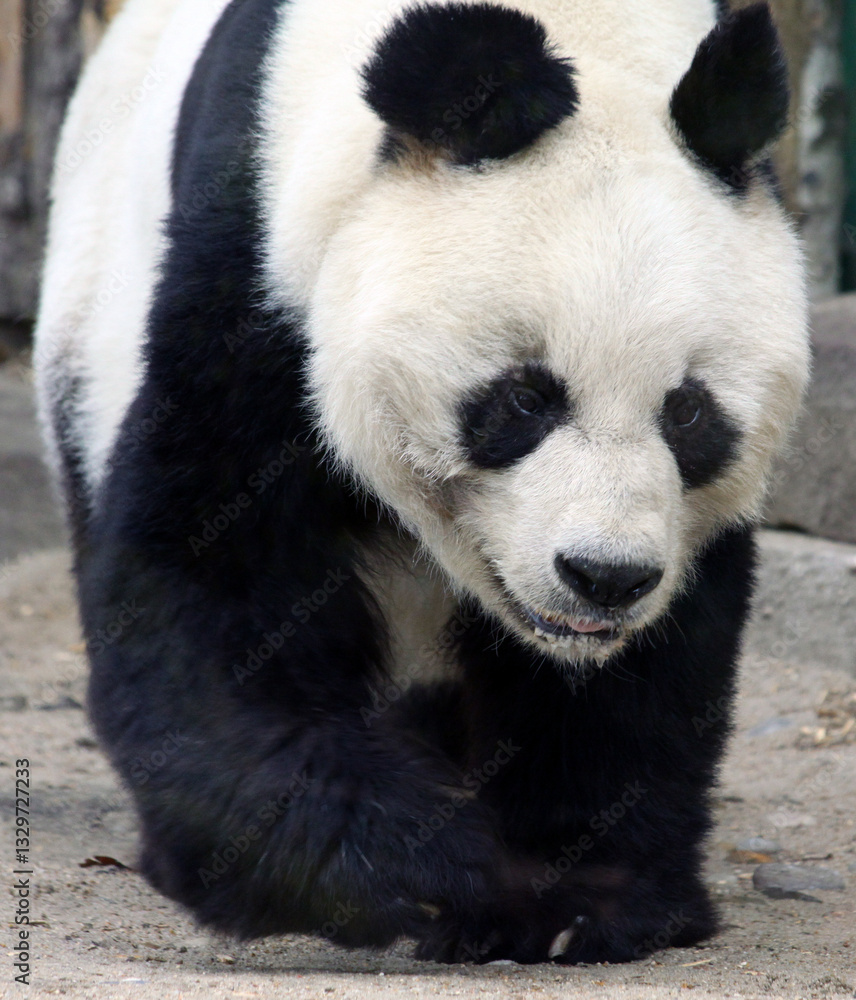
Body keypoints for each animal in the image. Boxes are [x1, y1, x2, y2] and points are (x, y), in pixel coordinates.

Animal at [34, 0, 809, 965]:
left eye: (689, 413)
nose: (604, 577)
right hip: (88, 307)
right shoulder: (254, 275)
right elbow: (210, 588)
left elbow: (645, 679)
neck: (591, 38)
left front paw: (579, 898)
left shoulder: (678, 534)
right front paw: (411, 869)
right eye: (523, 398)